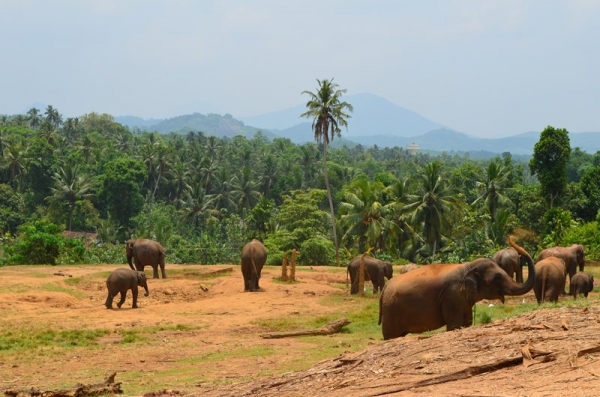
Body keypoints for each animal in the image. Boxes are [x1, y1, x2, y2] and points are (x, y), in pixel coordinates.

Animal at [380, 235, 536, 340]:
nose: (511, 238)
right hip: (391, 312)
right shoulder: (451, 296)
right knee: (391, 335)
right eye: (497, 277)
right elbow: (454, 324)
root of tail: (385, 287)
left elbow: (466, 323)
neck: (468, 266)